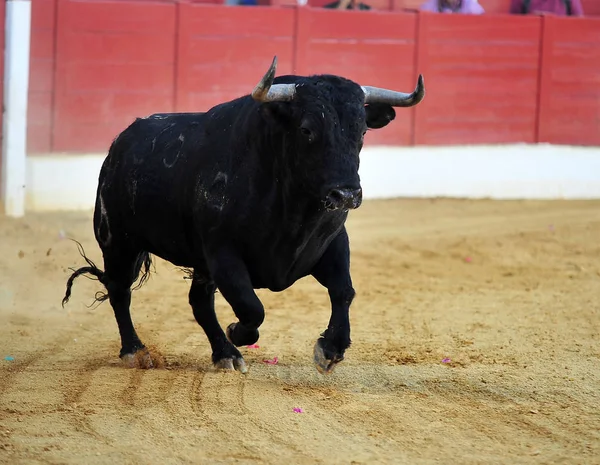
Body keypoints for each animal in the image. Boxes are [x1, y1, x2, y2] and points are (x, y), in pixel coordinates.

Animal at [63, 57, 424, 374]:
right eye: (307, 130)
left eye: (361, 132)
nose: (347, 194)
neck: (293, 210)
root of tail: (121, 143)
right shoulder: (223, 254)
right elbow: (252, 306)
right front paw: (237, 331)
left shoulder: (334, 243)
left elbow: (344, 292)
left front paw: (330, 350)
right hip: (118, 241)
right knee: (120, 291)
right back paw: (136, 351)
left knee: (198, 302)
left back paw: (224, 354)